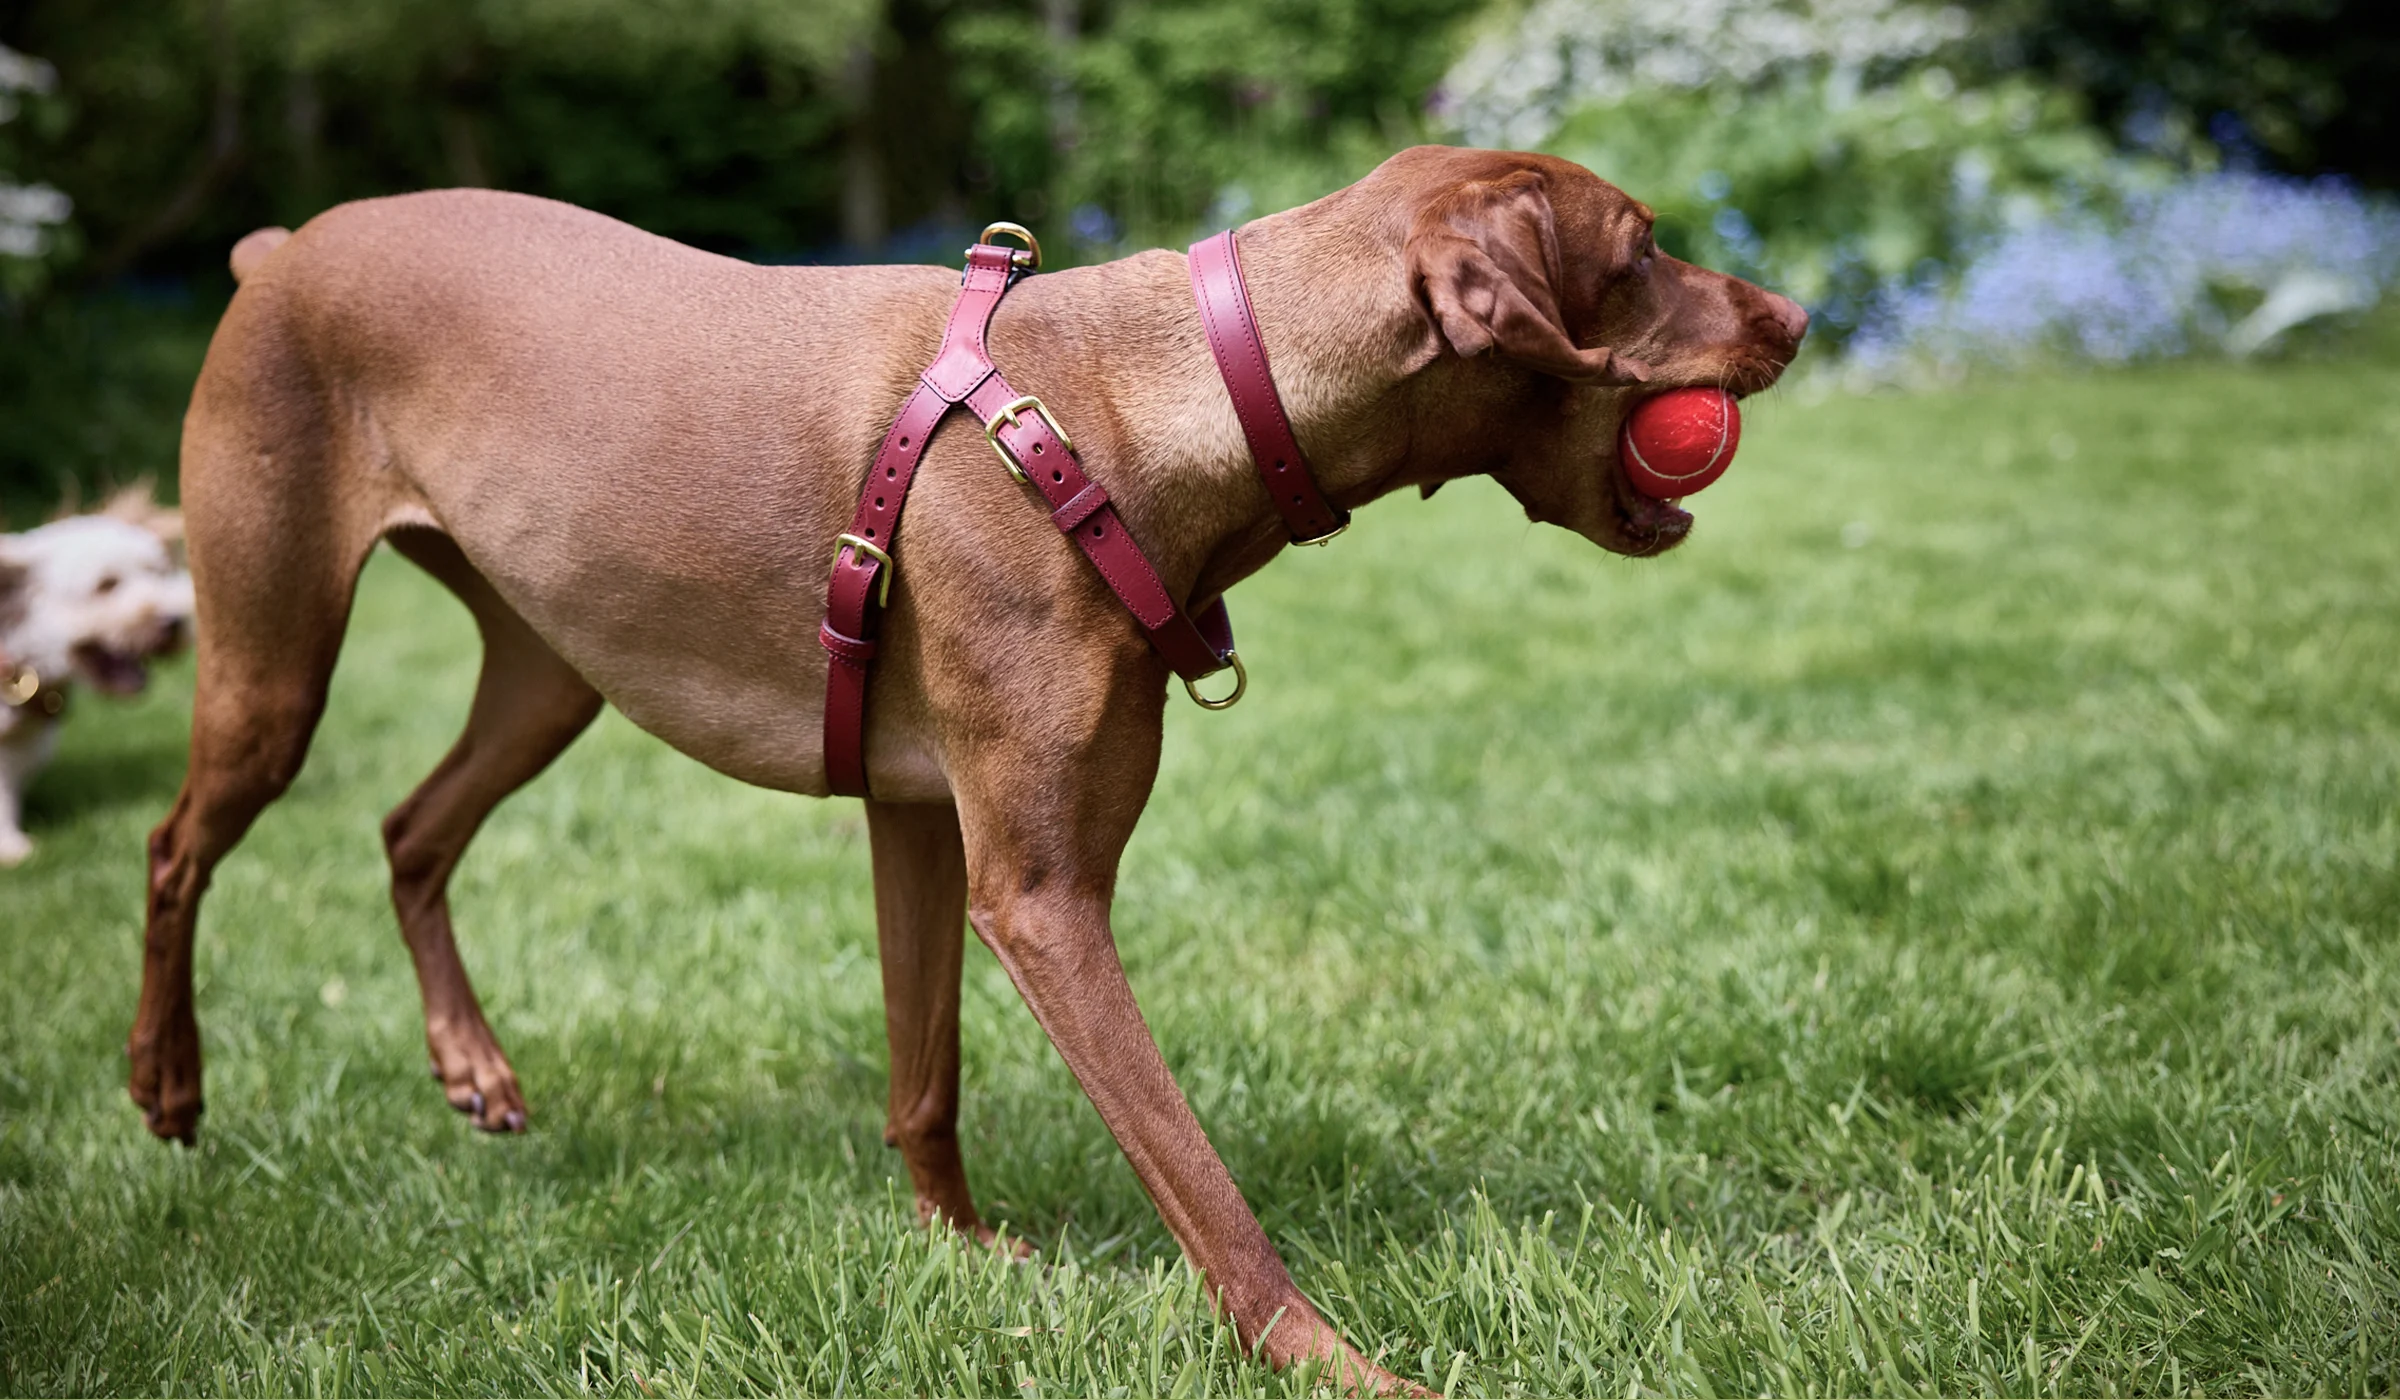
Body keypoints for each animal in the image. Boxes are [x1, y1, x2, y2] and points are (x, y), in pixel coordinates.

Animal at [136, 147, 1804, 1392]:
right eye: (1643, 249)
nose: (1793, 312)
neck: (1136, 404)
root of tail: (280, 248)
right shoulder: (1044, 892)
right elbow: (1202, 1185)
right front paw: (1341, 1366)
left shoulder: (922, 822)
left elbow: (920, 1078)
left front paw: (953, 1250)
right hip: (273, 668)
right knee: (176, 848)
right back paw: (166, 1080)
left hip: (552, 673)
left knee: (410, 827)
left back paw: (470, 1068)